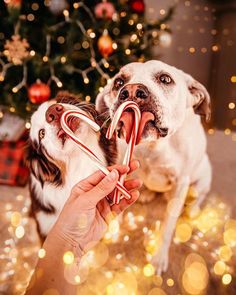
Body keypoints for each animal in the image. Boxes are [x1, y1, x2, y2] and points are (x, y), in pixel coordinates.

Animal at [96, 60, 212, 276]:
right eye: (119, 82)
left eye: (165, 79)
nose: (132, 91)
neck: (153, 147)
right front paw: (112, 233)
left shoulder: (180, 184)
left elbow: (167, 227)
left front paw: (159, 258)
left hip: (202, 178)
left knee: (198, 197)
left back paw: (193, 210)